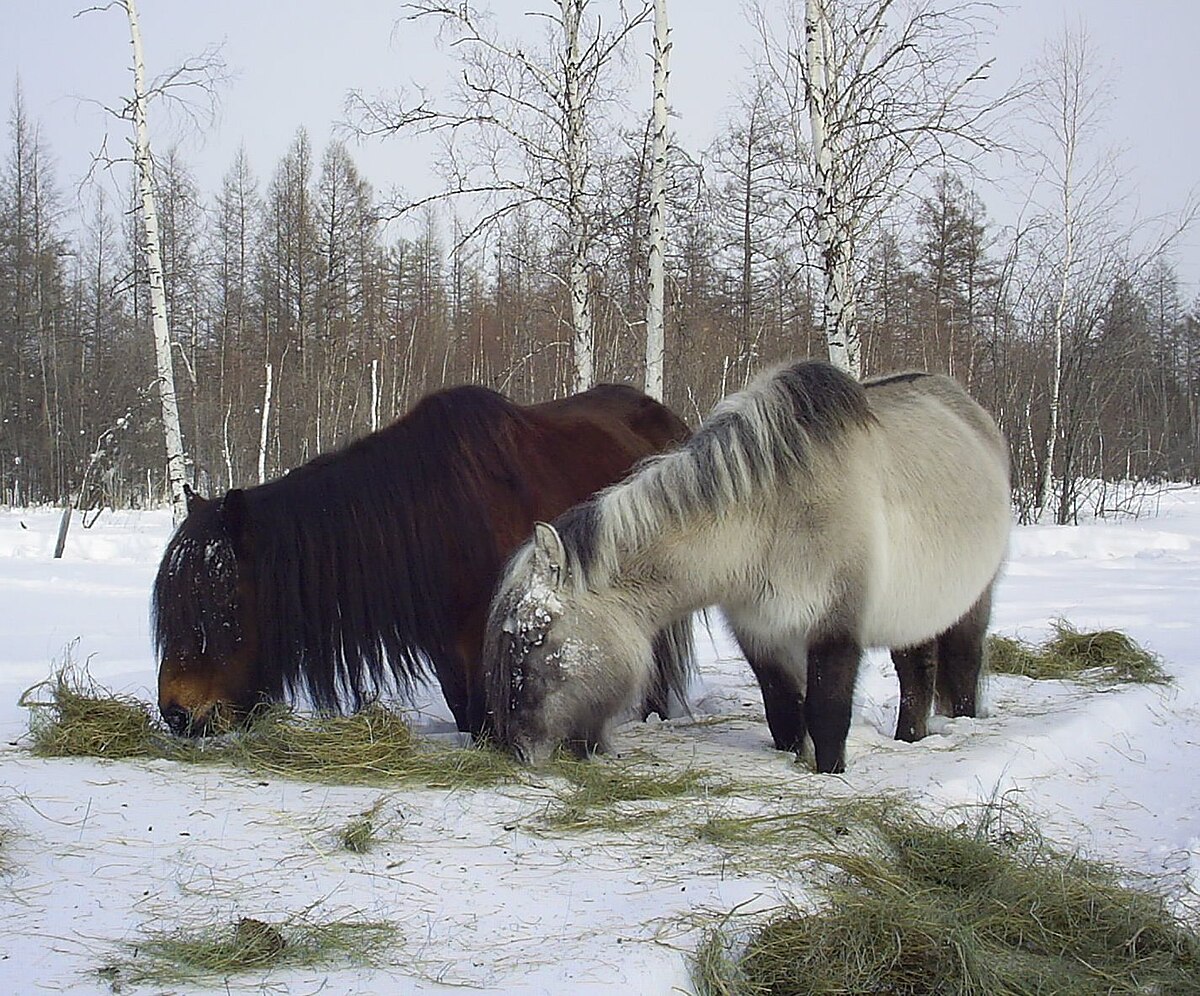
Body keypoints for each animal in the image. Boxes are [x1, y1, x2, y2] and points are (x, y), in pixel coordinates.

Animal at [482, 362, 1008, 777]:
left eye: (537, 638)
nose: (518, 750)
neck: (772, 518)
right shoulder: (760, 633)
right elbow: (785, 716)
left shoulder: (835, 631)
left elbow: (827, 716)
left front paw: (830, 776)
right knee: (916, 673)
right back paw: (909, 738)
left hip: (974, 603)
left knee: (962, 664)